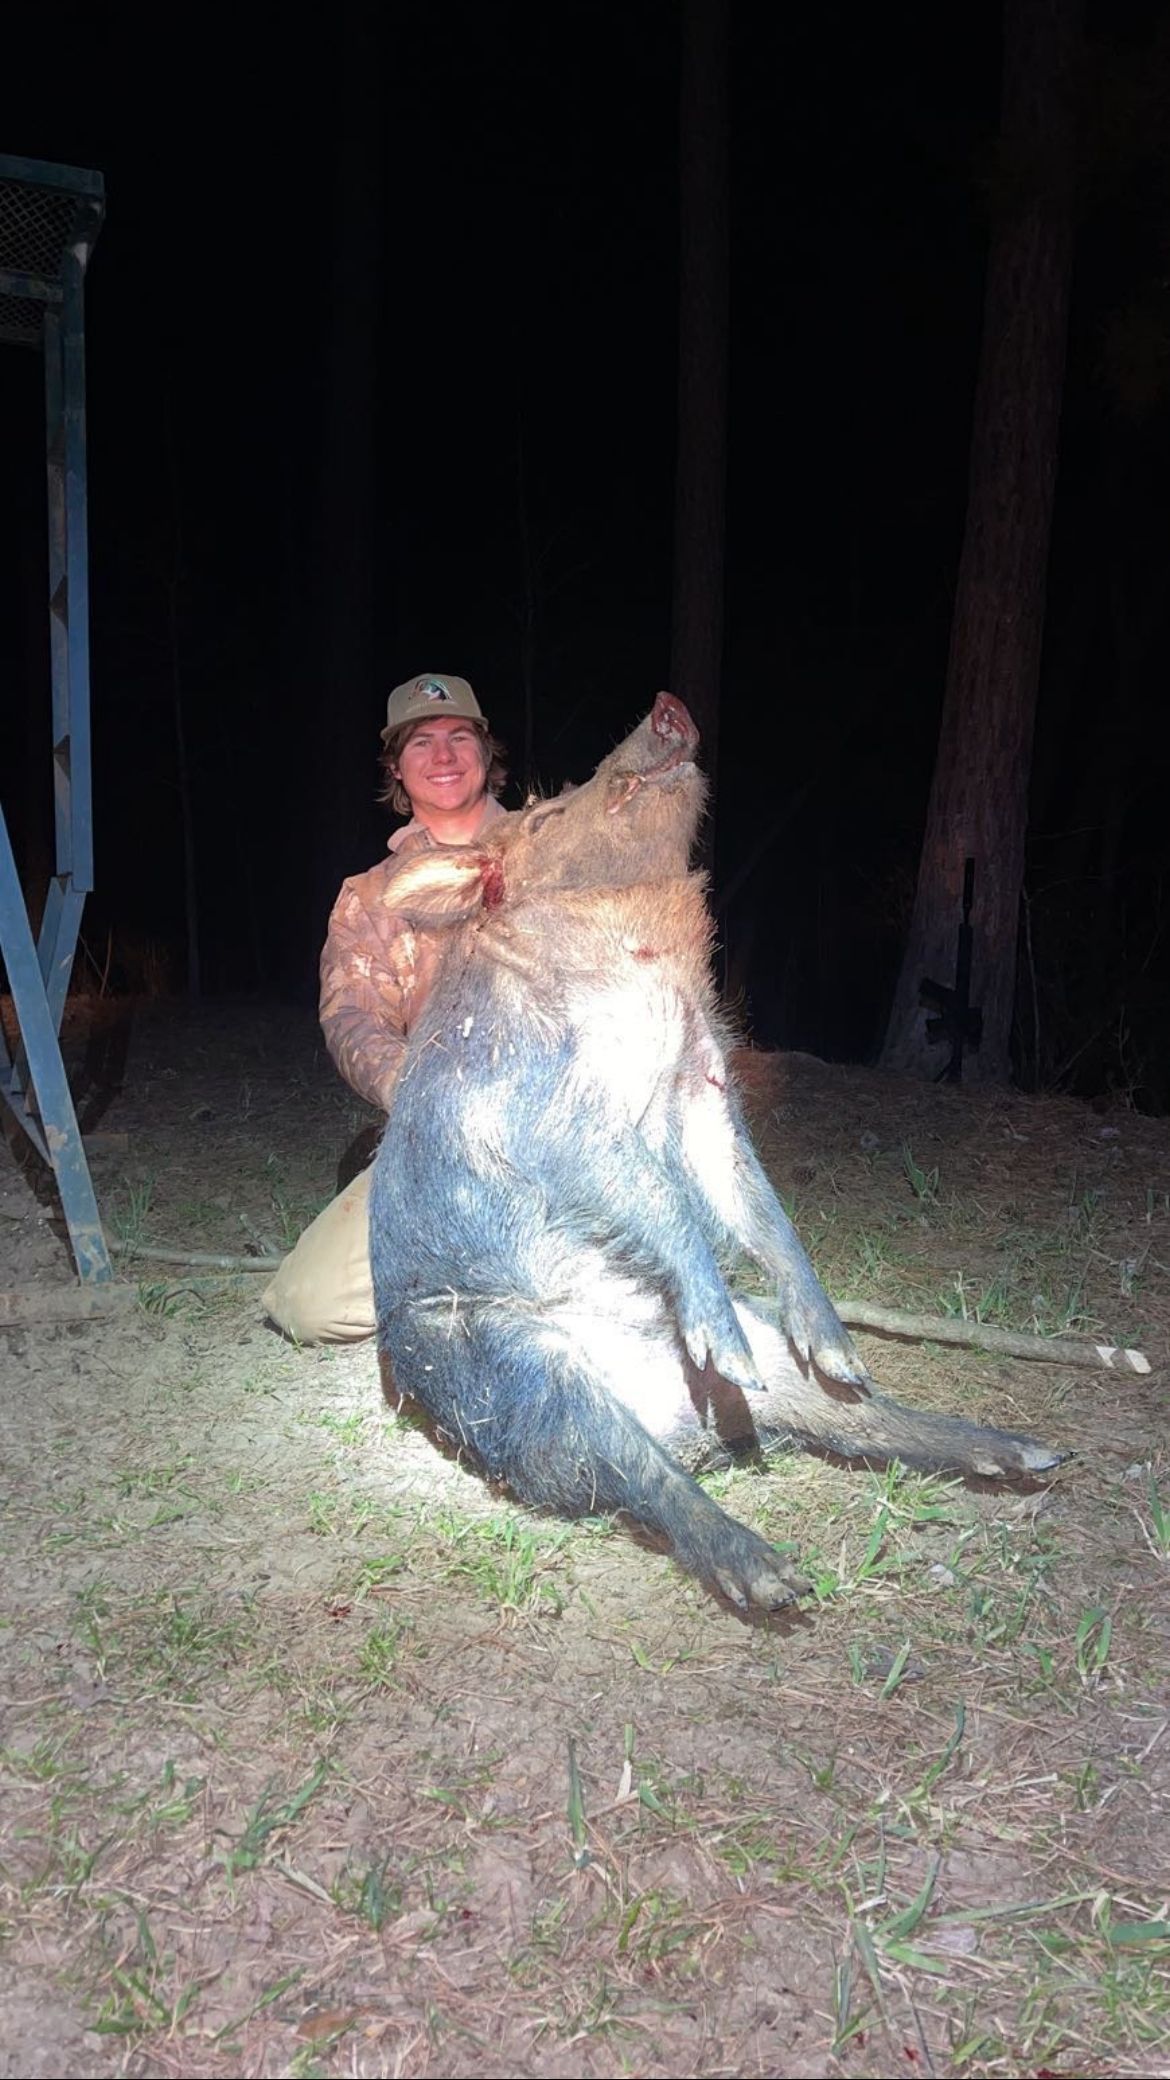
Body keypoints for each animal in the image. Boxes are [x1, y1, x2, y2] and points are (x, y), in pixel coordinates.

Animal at [369, 693, 1059, 1611]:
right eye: (546, 815)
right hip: (514, 1365)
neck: (643, 969)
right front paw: (722, 1346)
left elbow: (753, 1195)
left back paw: (1019, 1449)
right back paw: (775, 1574)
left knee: (850, 1416)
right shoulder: (557, 1111)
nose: (666, 705)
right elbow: (659, 1198)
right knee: (638, 1475)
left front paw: (833, 1344)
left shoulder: (703, 1085)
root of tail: (673, 1416)